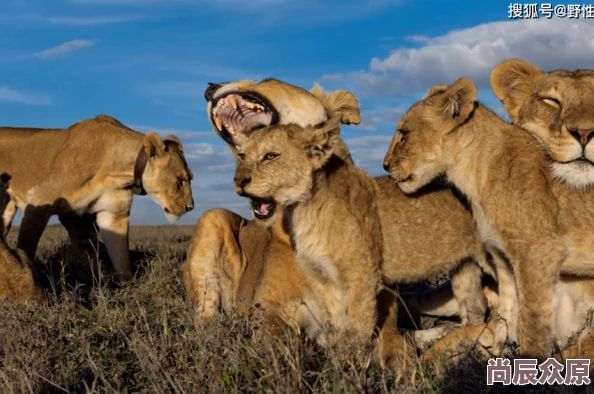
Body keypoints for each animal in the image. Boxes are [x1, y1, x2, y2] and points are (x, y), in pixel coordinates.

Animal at [0, 115, 193, 282]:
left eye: (190, 178)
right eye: (181, 180)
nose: (190, 207)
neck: (117, 171)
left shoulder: (113, 215)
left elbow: (121, 259)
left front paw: (128, 288)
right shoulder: (39, 199)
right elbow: (27, 246)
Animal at [380, 77, 592, 360]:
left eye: (404, 134)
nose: (384, 165)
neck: (474, 173)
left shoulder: (538, 254)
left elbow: (532, 323)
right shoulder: (502, 257)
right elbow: (507, 315)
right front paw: (500, 354)